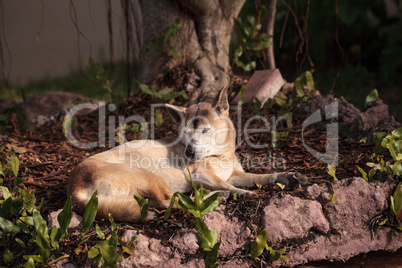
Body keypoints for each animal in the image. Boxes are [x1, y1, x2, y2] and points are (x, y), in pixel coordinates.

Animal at [68, 86, 302, 222]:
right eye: (186, 133)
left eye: (205, 131)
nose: (189, 152)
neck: (220, 155)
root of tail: (74, 189)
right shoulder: (200, 175)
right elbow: (228, 184)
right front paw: (242, 192)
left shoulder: (237, 175)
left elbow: (261, 177)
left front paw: (285, 177)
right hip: (150, 176)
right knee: (171, 201)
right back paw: (217, 196)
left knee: (166, 201)